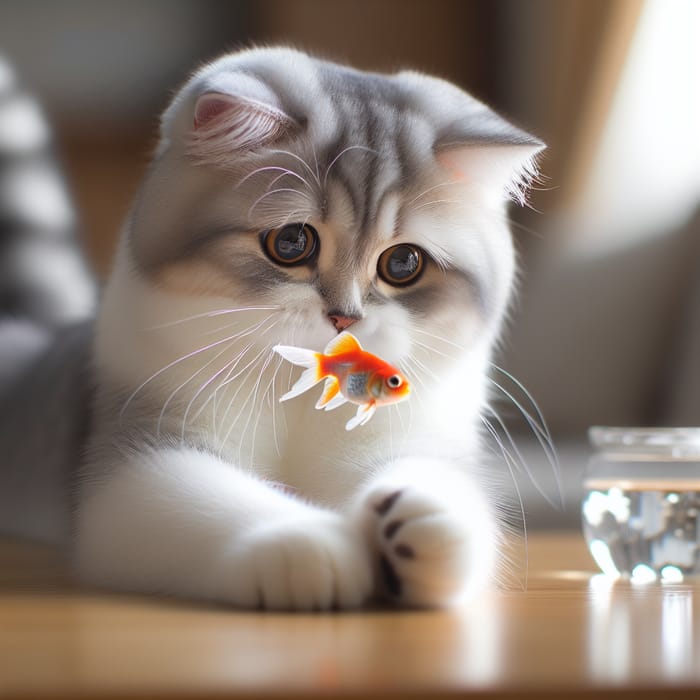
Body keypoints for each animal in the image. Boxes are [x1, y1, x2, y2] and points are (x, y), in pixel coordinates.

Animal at [0, 47, 544, 608]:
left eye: (402, 264)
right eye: (291, 243)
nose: (344, 317)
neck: (300, 389)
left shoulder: (413, 434)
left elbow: (437, 483)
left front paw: (421, 523)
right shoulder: (140, 451)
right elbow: (211, 501)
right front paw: (315, 546)